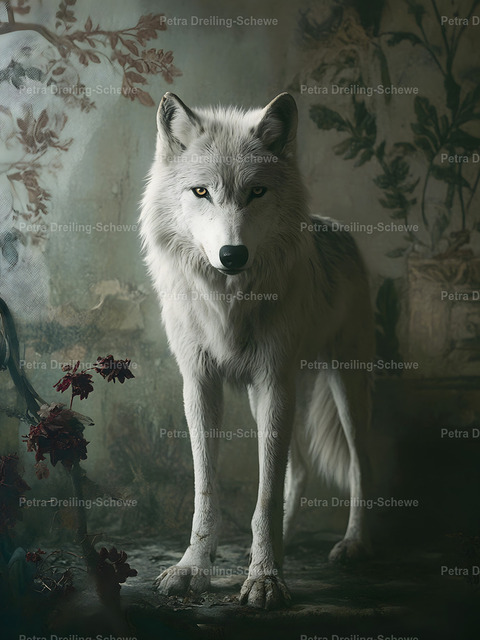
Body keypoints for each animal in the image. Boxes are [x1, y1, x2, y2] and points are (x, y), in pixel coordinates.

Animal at [139, 92, 374, 610]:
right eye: (201, 192)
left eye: (257, 193)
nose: (233, 255)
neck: (230, 301)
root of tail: (332, 225)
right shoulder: (201, 385)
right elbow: (207, 490)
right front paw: (194, 567)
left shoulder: (273, 382)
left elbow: (264, 496)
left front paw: (265, 579)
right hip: (263, 394)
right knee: (298, 470)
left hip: (342, 386)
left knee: (358, 464)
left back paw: (354, 544)